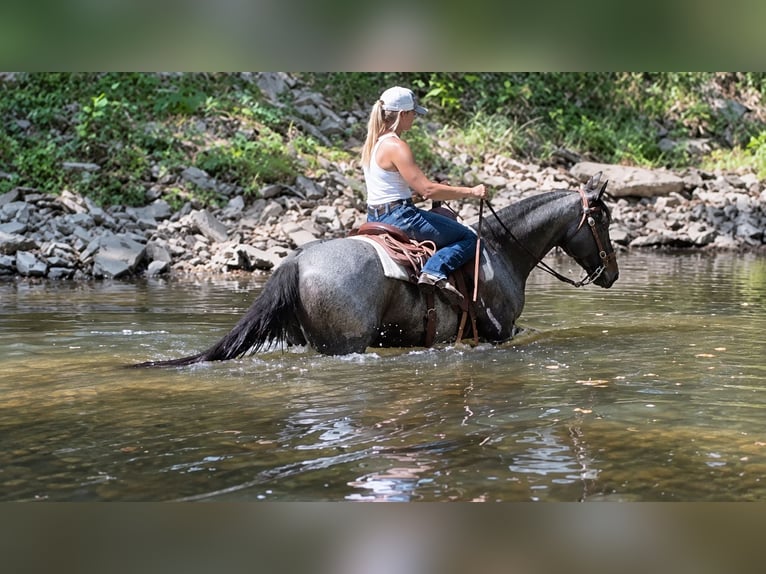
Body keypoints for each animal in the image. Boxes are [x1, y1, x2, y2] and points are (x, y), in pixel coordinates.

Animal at [134, 173, 618, 366]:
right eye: (603, 221)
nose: (611, 274)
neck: (501, 251)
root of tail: (295, 262)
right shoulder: (501, 333)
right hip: (345, 343)